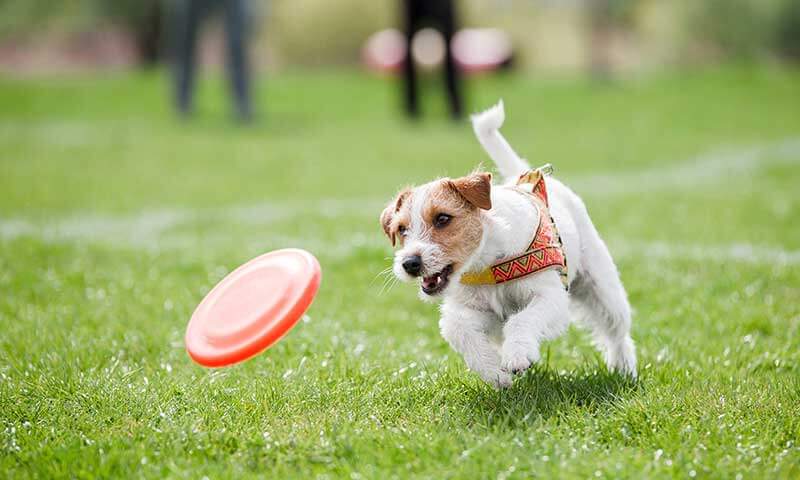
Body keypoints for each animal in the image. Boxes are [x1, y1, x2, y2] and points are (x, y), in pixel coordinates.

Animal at [382, 100, 636, 386]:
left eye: (443, 218)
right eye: (401, 229)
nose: (409, 263)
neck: (488, 263)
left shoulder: (550, 297)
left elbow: (522, 320)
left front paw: (517, 356)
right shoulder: (480, 311)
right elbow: (457, 328)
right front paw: (494, 372)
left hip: (602, 288)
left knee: (617, 331)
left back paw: (624, 368)